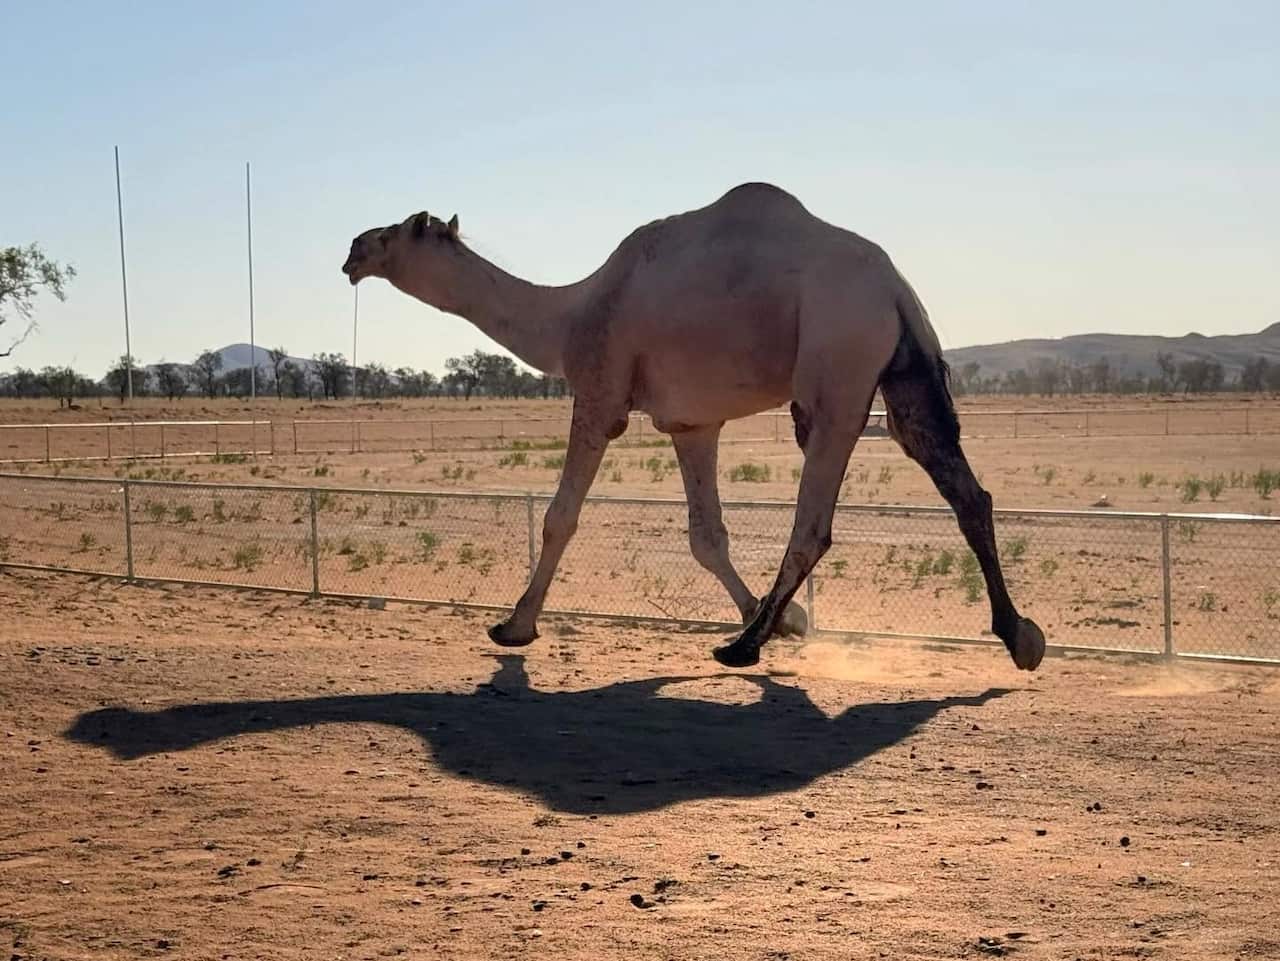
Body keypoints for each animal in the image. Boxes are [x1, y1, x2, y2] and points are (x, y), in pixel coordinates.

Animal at [342, 183, 1045, 672]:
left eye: (396, 232)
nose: (351, 249)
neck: (569, 316)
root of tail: (895, 287)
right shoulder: (690, 422)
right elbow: (707, 537)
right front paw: (785, 620)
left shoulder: (599, 392)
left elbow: (560, 517)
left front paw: (514, 625)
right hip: (906, 373)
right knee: (962, 487)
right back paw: (1021, 638)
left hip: (835, 367)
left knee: (813, 521)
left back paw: (743, 647)